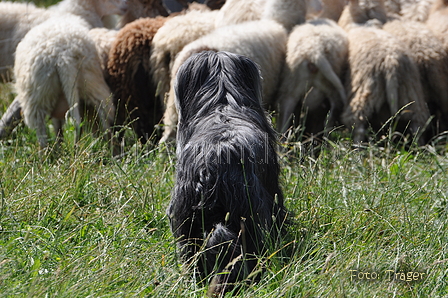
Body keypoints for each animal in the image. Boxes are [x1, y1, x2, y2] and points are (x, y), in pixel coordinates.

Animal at [14, 14, 115, 149]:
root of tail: (62, 58)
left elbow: (57, 126)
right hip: (90, 84)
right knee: (98, 119)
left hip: (37, 98)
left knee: (41, 131)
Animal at [340, 0, 430, 144]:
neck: (365, 23)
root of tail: (390, 62)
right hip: (410, 93)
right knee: (418, 124)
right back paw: (418, 147)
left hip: (366, 91)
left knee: (358, 123)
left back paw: (357, 146)